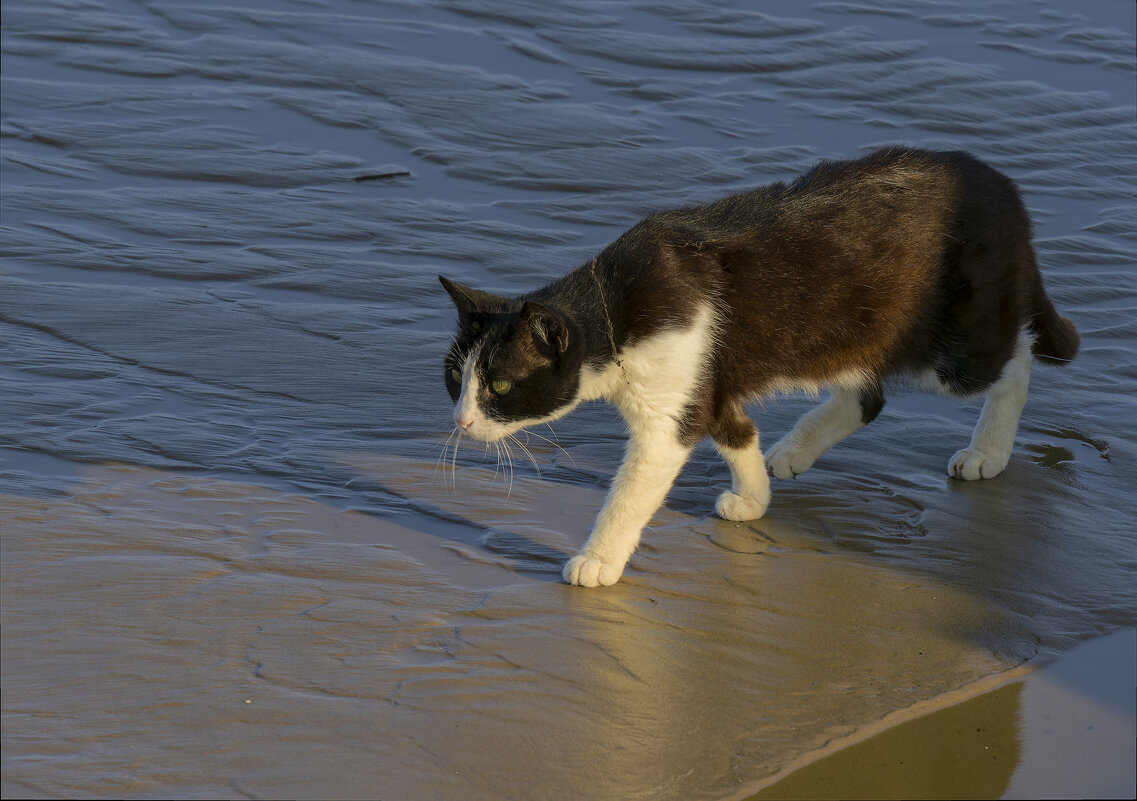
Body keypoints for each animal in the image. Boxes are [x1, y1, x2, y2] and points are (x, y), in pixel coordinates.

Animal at [434, 146, 1073, 587]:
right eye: (455, 379)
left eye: (500, 385)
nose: (461, 422)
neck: (616, 305)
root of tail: (1002, 185)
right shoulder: (705, 385)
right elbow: (736, 432)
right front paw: (754, 498)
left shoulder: (671, 411)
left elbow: (632, 491)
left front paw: (597, 560)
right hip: (848, 332)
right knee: (868, 396)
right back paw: (794, 450)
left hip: (954, 345)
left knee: (1014, 363)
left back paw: (988, 451)